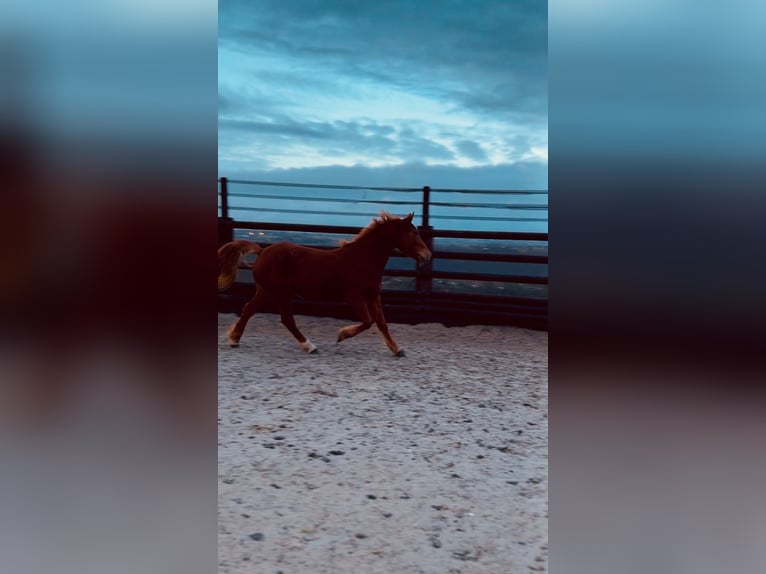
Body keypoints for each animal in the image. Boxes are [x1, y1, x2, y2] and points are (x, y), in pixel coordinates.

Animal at [217, 212, 432, 356]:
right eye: (413, 233)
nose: (427, 255)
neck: (363, 259)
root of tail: (262, 251)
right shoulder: (354, 296)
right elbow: (368, 321)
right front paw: (341, 335)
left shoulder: (373, 295)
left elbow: (381, 322)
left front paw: (397, 349)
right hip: (279, 292)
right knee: (285, 318)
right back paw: (309, 346)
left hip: (268, 291)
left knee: (249, 309)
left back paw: (235, 340)